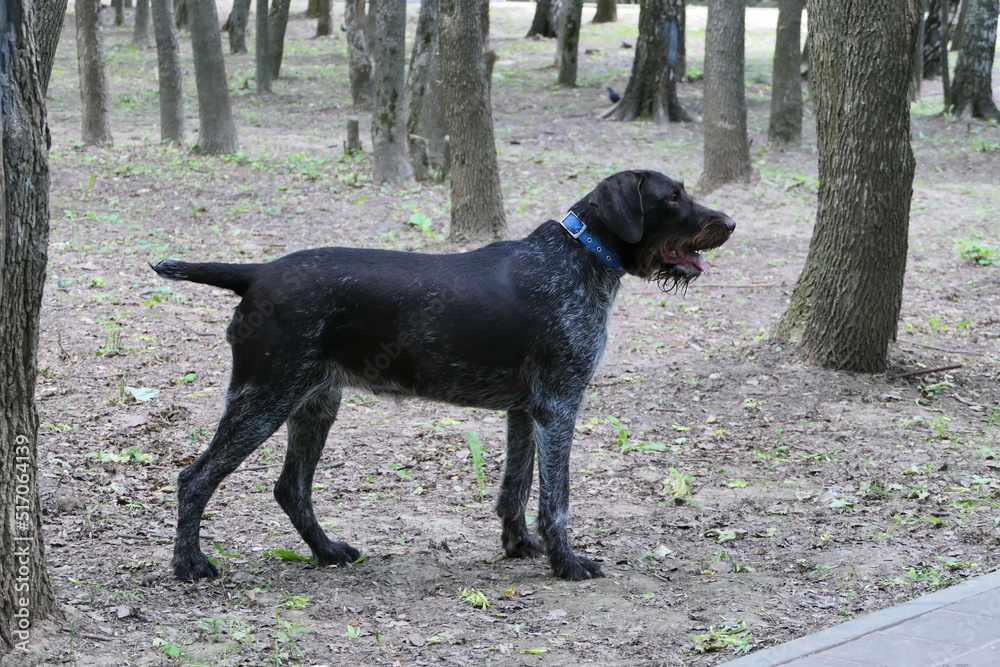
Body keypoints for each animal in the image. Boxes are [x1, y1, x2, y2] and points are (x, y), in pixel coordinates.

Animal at [152, 170, 735, 581]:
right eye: (672, 197)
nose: (730, 224)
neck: (579, 258)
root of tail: (257, 274)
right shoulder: (559, 405)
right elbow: (557, 498)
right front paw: (566, 563)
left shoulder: (526, 410)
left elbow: (516, 485)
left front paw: (519, 546)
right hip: (263, 399)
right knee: (194, 478)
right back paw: (189, 565)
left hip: (314, 403)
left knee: (290, 488)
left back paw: (328, 551)